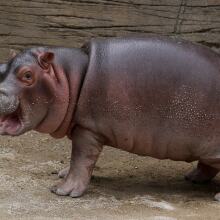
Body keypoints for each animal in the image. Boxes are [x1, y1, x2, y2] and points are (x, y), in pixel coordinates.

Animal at [0, 37, 220, 200]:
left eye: (28, 75)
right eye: (2, 67)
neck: (68, 76)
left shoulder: (87, 129)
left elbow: (80, 159)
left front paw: (62, 191)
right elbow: (78, 161)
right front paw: (62, 173)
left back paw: (216, 197)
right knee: (207, 165)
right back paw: (193, 178)